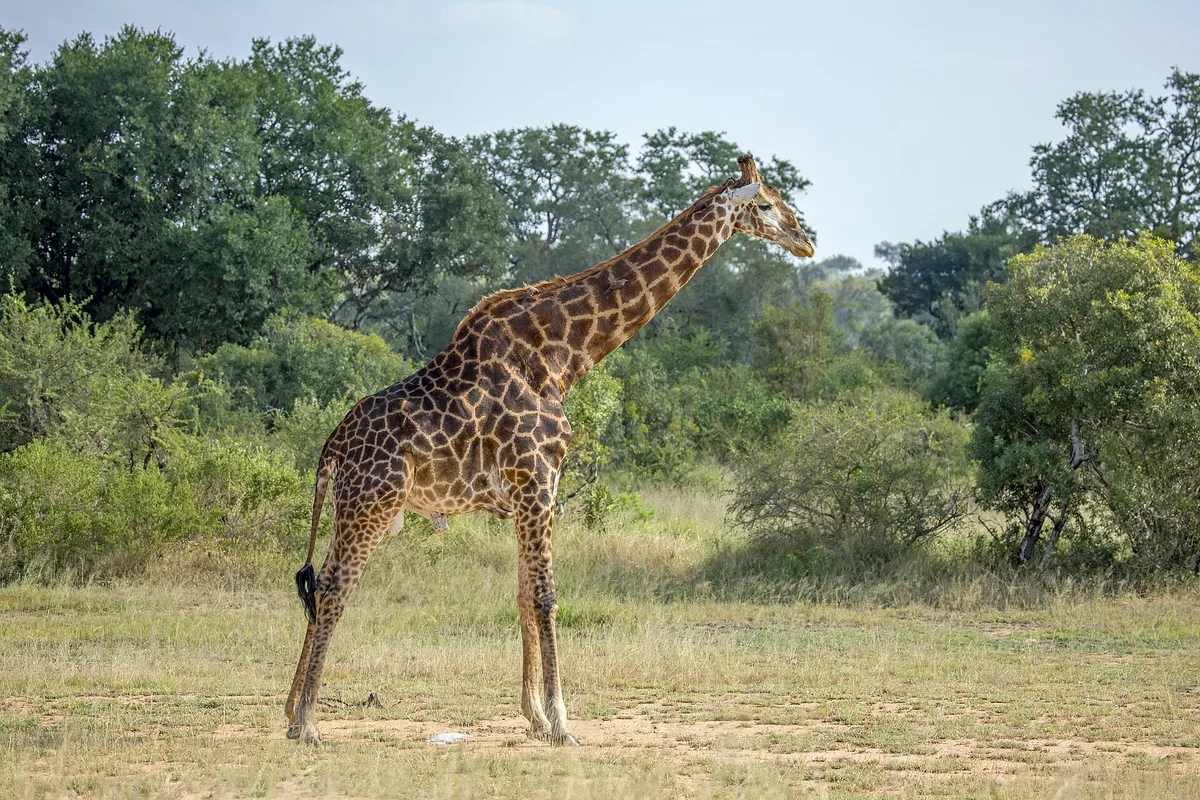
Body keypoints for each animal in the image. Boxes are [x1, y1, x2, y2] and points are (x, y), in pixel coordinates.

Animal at [284, 154, 814, 747]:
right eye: (765, 203)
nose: (805, 241)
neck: (564, 354)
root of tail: (331, 446)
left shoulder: (531, 490)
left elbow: (521, 595)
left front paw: (535, 716)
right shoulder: (538, 479)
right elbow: (545, 596)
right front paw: (562, 722)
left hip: (354, 507)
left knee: (318, 585)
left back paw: (290, 714)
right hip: (372, 504)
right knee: (334, 590)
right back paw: (309, 723)